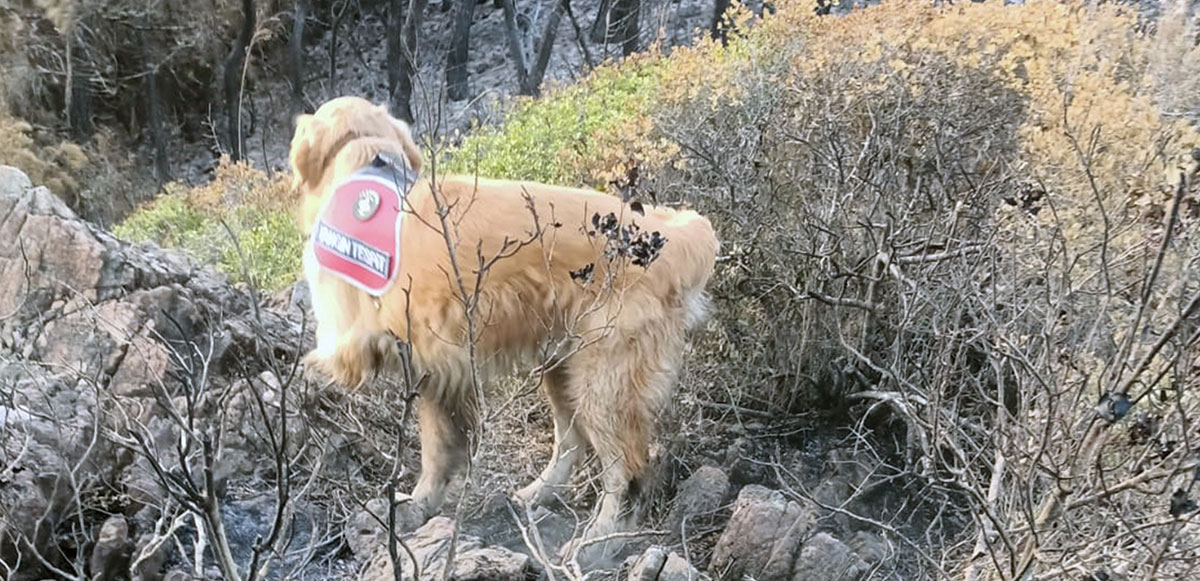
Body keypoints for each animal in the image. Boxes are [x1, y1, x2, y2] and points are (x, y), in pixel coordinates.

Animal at [288, 97, 720, 564]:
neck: (368, 162)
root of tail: (674, 235)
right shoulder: (437, 368)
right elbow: (441, 446)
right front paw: (425, 501)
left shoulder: (372, 347)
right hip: (563, 365)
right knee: (571, 442)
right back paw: (536, 495)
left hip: (603, 381)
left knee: (628, 472)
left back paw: (598, 541)